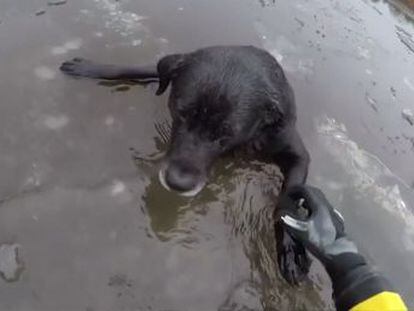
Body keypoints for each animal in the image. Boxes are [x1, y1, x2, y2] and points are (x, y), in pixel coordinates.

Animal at [60, 45, 310, 286]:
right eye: (181, 113)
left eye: (227, 133)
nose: (177, 183)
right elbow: (137, 68)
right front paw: (89, 67)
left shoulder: (297, 154)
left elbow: (288, 203)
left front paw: (292, 252)